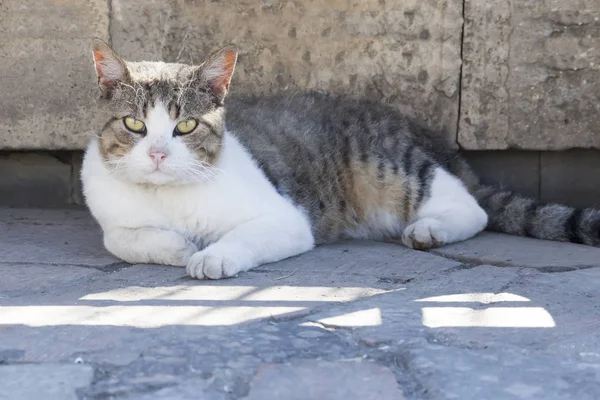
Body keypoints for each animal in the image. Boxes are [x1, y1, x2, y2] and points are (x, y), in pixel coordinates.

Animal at [81, 39, 600, 280]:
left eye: (186, 126)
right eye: (134, 125)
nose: (158, 153)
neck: (165, 198)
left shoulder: (287, 218)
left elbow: (242, 237)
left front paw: (211, 256)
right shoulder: (112, 217)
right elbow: (121, 240)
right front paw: (178, 247)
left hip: (390, 164)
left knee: (472, 207)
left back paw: (430, 229)